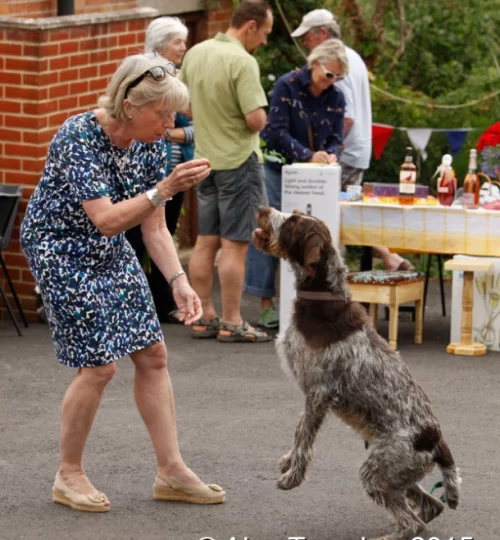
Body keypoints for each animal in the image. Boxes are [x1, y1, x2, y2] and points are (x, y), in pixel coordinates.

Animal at [252, 208, 462, 540]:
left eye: (293, 222)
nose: (263, 209)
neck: (324, 298)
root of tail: (438, 443)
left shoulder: (319, 392)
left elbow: (305, 436)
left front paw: (292, 476)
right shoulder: (311, 393)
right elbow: (299, 430)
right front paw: (288, 462)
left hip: (377, 470)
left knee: (410, 522)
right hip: (396, 471)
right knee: (431, 506)